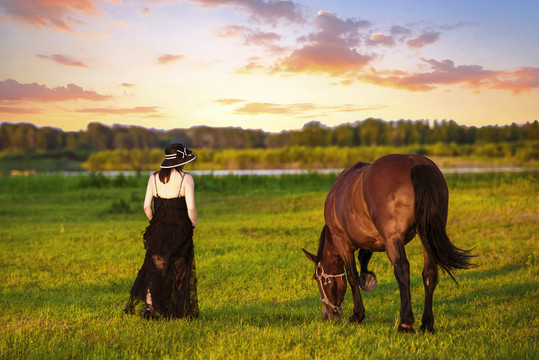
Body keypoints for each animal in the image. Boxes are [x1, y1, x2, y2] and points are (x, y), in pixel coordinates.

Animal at [304, 153, 472, 334]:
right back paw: (427, 324)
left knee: (402, 271)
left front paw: (357, 315)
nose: (327, 314)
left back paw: (405, 323)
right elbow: (363, 259)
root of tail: (416, 164)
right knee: (429, 273)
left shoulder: (342, 242)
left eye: (317, 278)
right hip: (426, 236)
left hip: (394, 239)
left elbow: (352, 277)